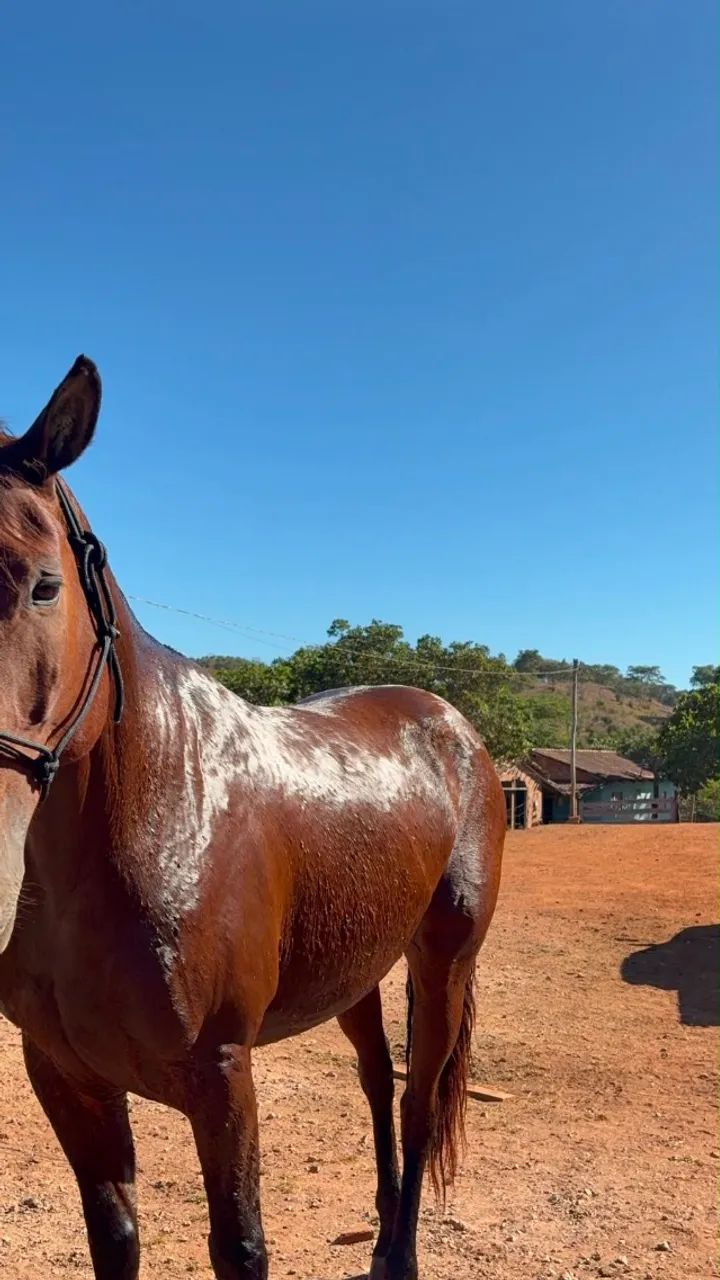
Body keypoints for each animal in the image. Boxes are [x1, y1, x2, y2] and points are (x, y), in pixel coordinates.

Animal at [0, 357, 506, 1280]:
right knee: (376, 1081)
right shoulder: (64, 1073)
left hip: (443, 959)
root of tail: (451, 724)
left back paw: (400, 1254)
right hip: (357, 969)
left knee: (418, 1098)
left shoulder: (221, 1079)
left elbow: (239, 1246)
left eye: (42, 584)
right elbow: (114, 1236)